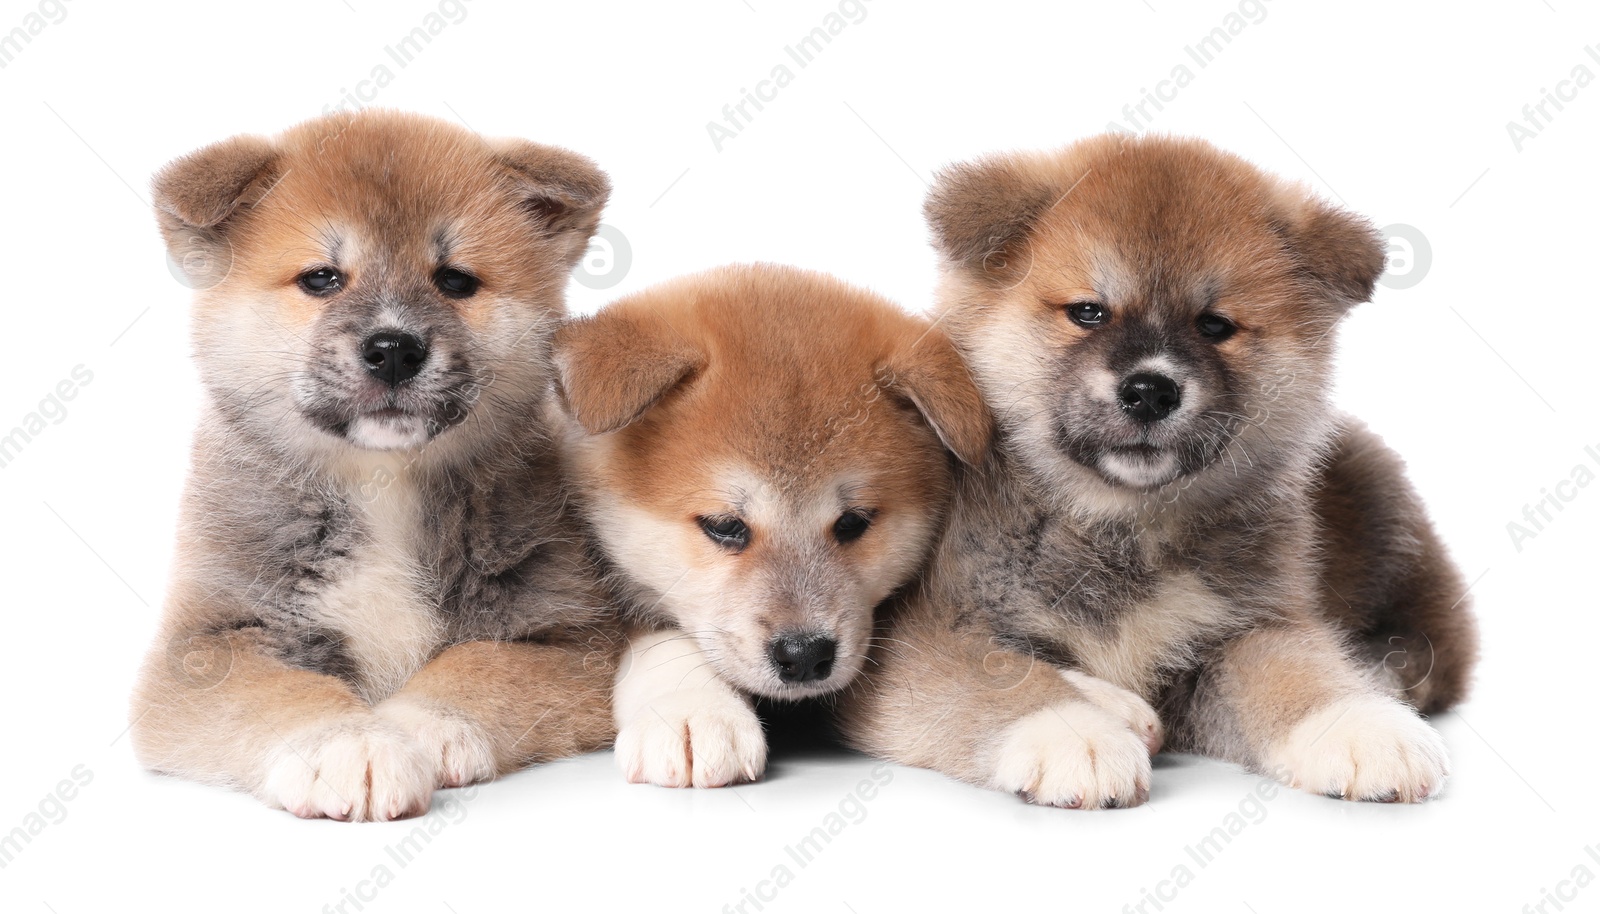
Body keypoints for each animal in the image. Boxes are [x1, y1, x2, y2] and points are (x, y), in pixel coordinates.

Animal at [129, 108, 624, 819]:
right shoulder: (207, 645)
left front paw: (418, 726)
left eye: (455, 280)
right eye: (322, 278)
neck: (383, 480)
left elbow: (481, 667)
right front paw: (346, 744)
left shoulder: (572, 637)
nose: (393, 348)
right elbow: (285, 693)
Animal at [838, 134, 1472, 806]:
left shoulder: (1249, 624)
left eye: (1215, 325)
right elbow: (997, 677)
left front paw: (1359, 723)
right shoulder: (917, 636)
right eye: (1089, 312)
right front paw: (1074, 734)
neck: (1119, 529)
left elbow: (1294, 667)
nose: (1149, 390)